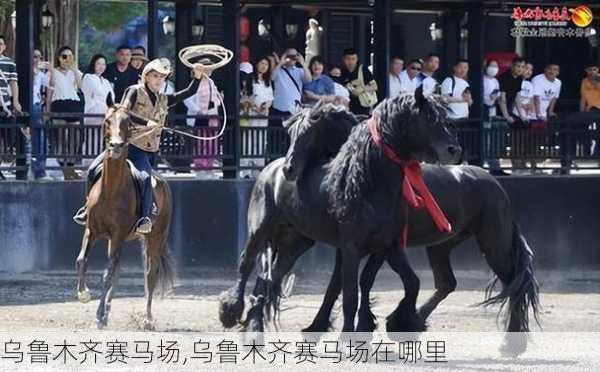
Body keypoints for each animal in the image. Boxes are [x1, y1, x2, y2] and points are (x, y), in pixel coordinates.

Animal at [74, 106, 175, 330]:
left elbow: (107, 273)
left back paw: (147, 319)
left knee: (150, 274)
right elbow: (82, 260)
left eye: (127, 123)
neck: (110, 190)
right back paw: (109, 311)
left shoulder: (118, 235)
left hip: (155, 238)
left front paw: (98, 316)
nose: (116, 146)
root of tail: (163, 182)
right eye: (107, 121)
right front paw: (84, 294)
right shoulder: (91, 230)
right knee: (119, 270)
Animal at [219, 92, 460, 332]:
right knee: (246, 264)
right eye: (427, 118)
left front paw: (400, 321)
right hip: (260, 230)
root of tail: (269, 170)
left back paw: (255, 325)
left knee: (270, 279)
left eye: (440, 117)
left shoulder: (387, 245)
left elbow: (408, 283)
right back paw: (231, 311)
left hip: (295, 242)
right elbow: (350, 294)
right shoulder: (350, 248)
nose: (454, 150)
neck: (367, 182)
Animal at [247, 100, 540, 356]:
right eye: (290, 132)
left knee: (513, 285)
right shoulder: (358, 247)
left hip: (494, 245)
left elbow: (358, 282)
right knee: (447, 283)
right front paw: (328, 327)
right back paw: (413, 322)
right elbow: (344, 284)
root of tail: (496, 186)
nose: (288, 169)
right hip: (442, 246)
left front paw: (354, 328)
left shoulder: (377, 247)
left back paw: (509, 345)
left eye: (309, 132)